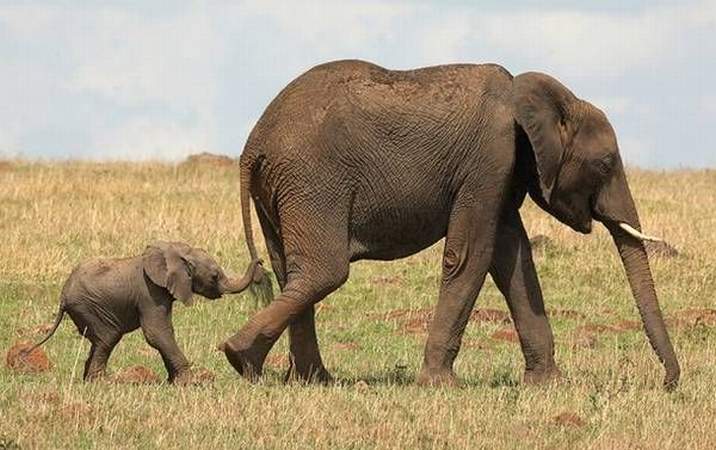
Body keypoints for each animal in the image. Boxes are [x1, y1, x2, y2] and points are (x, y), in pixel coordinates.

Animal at [25, 241, 265, 383]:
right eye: (214, 276)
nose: (260, 260)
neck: (175, 253)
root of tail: (63, 296)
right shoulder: (150, 293)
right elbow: (157, 333)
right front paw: (191, 383)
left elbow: (164, 332)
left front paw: (174, 382)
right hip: (90, 306)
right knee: (108, 338)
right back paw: (101, 382)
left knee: (98, 341)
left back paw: (89, 379)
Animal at [221, 59, 680, 390]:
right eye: (605, 163)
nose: (667, 384)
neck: (539, 98)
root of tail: (252, 145)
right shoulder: (488, 161)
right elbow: (471, 256)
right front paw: (442, 386)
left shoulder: (503, 174)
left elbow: (514, 261)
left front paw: (549, 387)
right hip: (313, 182)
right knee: (324, 272)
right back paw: (239, 358)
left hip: (282, 188)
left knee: (291, 273)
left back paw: (304, 379)